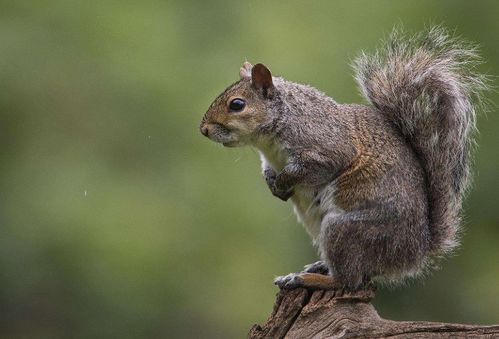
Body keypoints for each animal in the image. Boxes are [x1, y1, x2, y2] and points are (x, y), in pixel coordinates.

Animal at [198, 27, 488, 290]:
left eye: (237, 105)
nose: (204, 130)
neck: (270, 139)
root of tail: (414, 253)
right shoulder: (269, 159)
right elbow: (268, 171)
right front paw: (273, 184)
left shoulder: (326, 147)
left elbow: (311, 168)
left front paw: (283, 181)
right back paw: (317, 267)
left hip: (345, 230)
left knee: (348, 281)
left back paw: (308, 279)